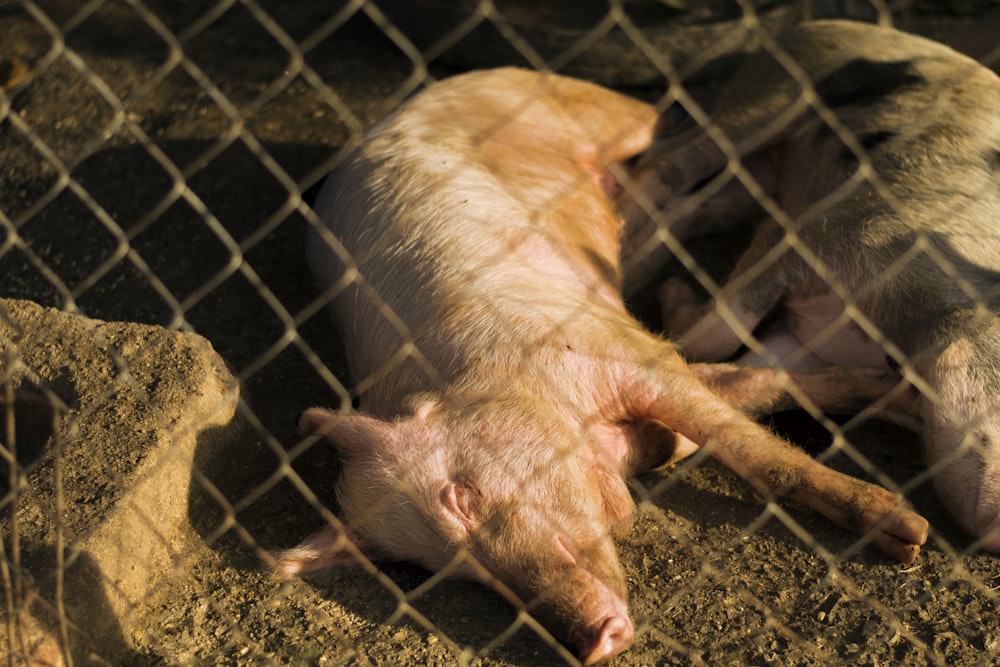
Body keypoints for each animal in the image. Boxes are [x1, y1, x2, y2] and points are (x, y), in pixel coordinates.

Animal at [276, 66, 928, 664]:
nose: (593, 642)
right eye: (442, 570)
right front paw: (902, 396)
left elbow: (753, 450)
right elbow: (752, 386)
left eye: (461, 497)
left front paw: (908, 535)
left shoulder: (621, 349)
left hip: (604, 112)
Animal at [624, 20, 1000, 552]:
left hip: (757, 176)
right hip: (765, 99)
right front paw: (672, 316)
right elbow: (720, 330)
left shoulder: (803, 342)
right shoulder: (822, 234)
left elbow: (747, 379)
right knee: (666, 164)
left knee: (695, 206)